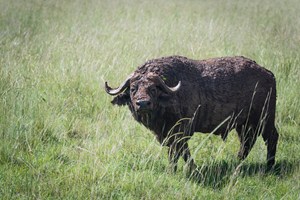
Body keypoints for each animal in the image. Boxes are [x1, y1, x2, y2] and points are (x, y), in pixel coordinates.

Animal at [105, 55, 278, 172]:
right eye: (133, 89)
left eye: (152, 89)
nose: (142, 103)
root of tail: (268, 74)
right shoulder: (166, 134)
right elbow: (174, 152)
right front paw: (174, 170)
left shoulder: (181, 132)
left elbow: (182, 151)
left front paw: (192, 169)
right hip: (244, 124)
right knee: (247, 142)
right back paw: (238, 163)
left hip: (264, 119)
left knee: (271, 137)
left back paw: (269, 166)